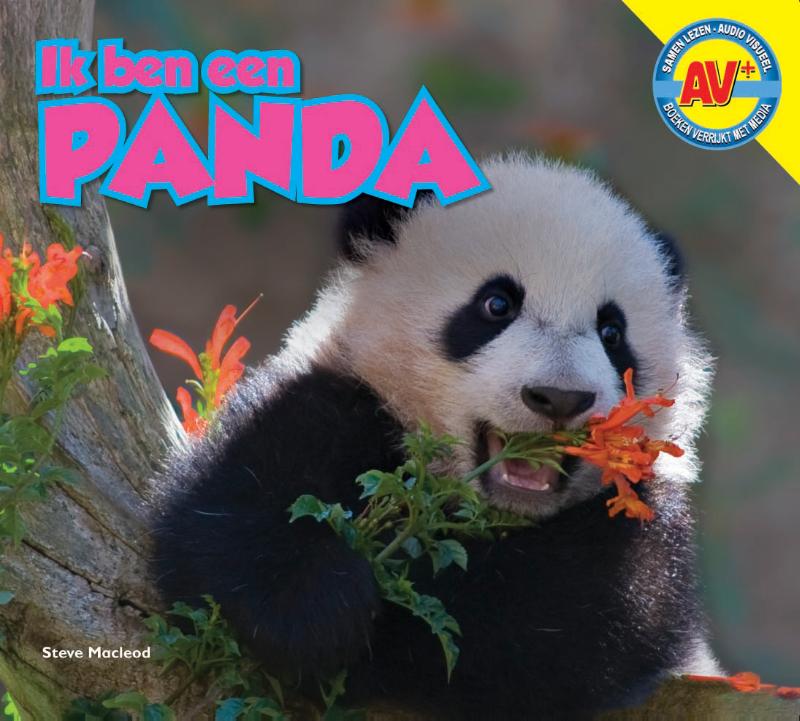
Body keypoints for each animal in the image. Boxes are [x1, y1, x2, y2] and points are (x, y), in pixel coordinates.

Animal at [152, 153, 717, 720]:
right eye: (496, 305)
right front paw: (319, 607)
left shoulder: (643, 535)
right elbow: (228, 514)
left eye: (612, 333)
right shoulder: (337, 401)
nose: (559, 397)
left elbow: (548, 623)